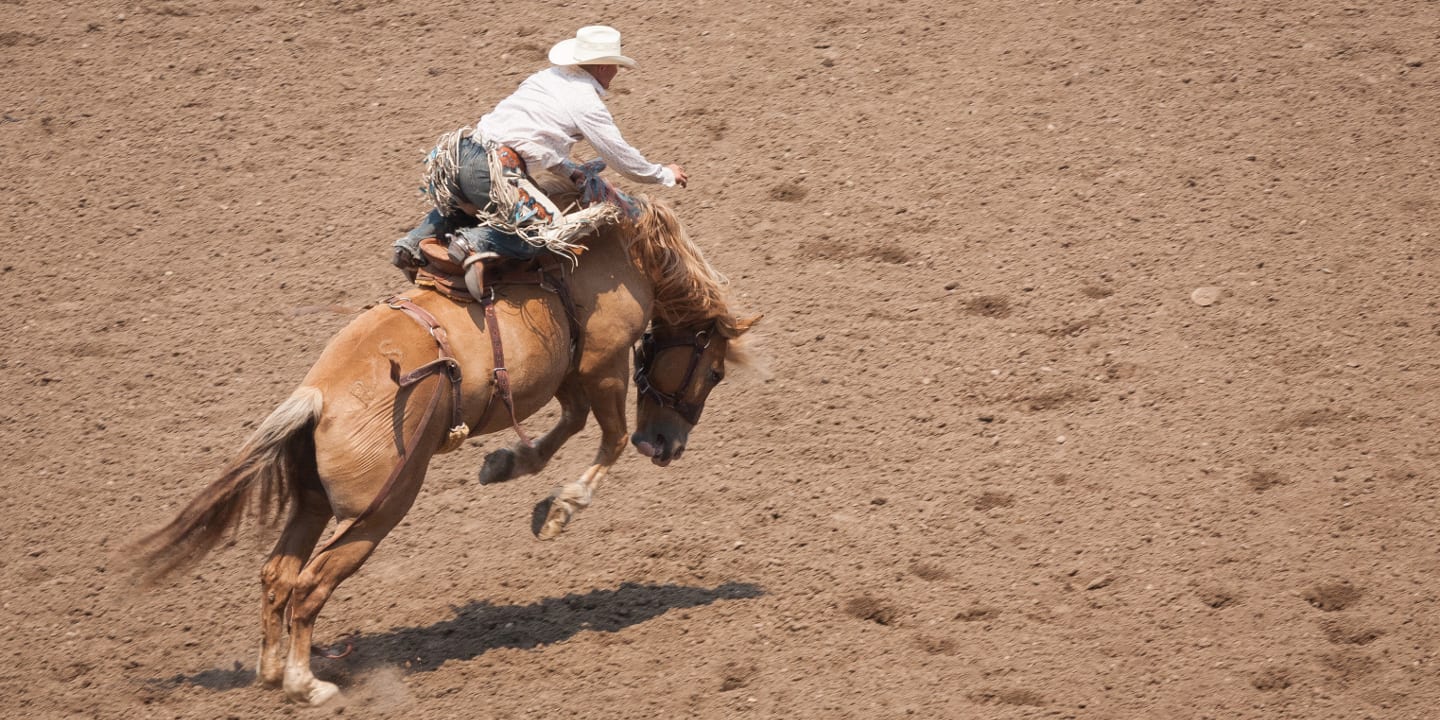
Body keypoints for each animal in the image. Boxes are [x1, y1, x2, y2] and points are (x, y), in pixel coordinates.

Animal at [129, 197, 760, 702]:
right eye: (715, 372)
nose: (668, 447)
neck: (616, 256)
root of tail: (318, 398)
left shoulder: (565, 374)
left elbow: (572, 424)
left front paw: (506, 466)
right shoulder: (602, 364)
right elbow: (609, 437)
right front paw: (561, 508)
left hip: (313, 502)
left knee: (278, 575)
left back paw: (269, 670)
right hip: (377, 512)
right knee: (309, 586)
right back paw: (306, 683)